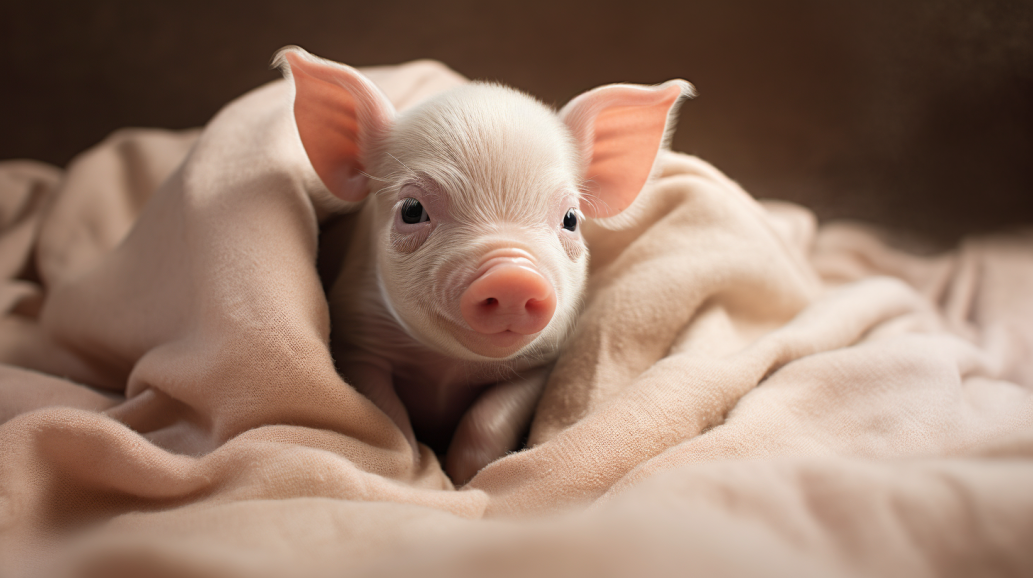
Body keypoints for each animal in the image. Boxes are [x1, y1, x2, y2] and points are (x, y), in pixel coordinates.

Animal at [277, 47, 694, 484]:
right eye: (412, 210)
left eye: (571, 219)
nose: (512, 275)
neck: (448, 369)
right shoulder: (359, 341)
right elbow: (388, 418)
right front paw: (420, 470)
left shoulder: (539, 363)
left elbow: (488, 420)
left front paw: (466, 478)